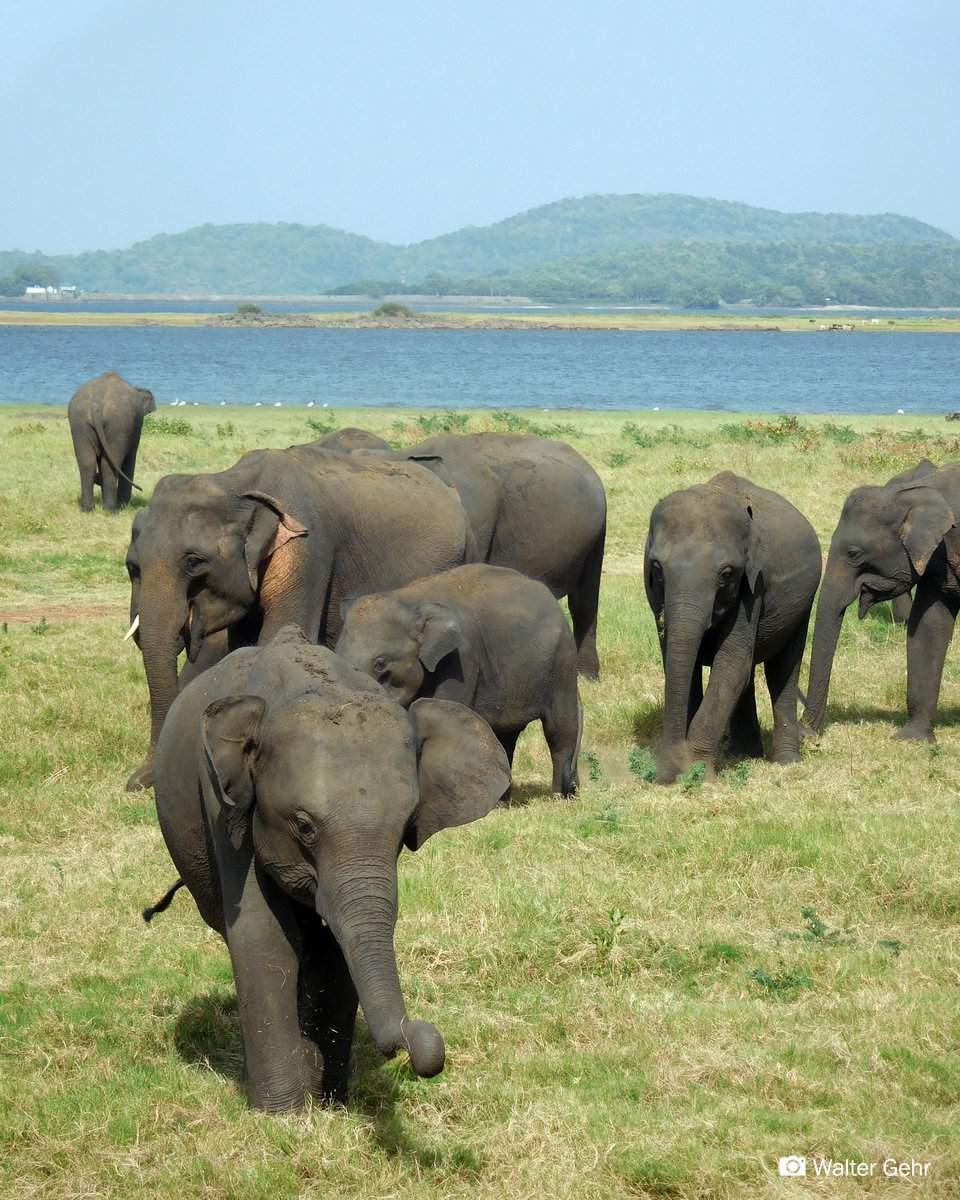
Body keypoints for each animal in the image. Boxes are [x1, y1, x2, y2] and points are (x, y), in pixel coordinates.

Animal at [68, 369, 156, 510]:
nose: (97, 480)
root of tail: (96, 405)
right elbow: (130, 457)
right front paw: (124, 504)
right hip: (119, 425)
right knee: (110, 463)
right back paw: (111, 509)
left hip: (79, 422)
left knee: (87, 462)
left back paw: (88, 509)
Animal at [124, 444, 474, 791]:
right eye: (132, 566)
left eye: (194, 562)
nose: (136, 784)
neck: (236, 482)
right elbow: (244, 646)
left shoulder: (307, 552)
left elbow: (278, 635)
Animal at [153, 625, 510, 1111]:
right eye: (304, 826)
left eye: (405, 828)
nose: (419, 1043)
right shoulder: (225, 808)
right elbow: (264, 936)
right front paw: (282, 1115)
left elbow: (334, 946)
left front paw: (330, 1105)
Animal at [336, 564, 582, 796]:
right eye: (337, 655)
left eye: (380, 663)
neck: (409, 600)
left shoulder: (460, 660)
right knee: (507, 737)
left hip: (562, 666)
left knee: (560, 728)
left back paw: (556, 796)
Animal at [644, 471, 822, 784]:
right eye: (656, 567)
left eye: (725, 574)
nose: (663, 776)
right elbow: (683, 664)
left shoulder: (753, 587)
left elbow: (730, 665)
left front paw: (698, 774)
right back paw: (744, 755)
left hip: (804, 602)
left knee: (782, 669)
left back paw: (787, 763)